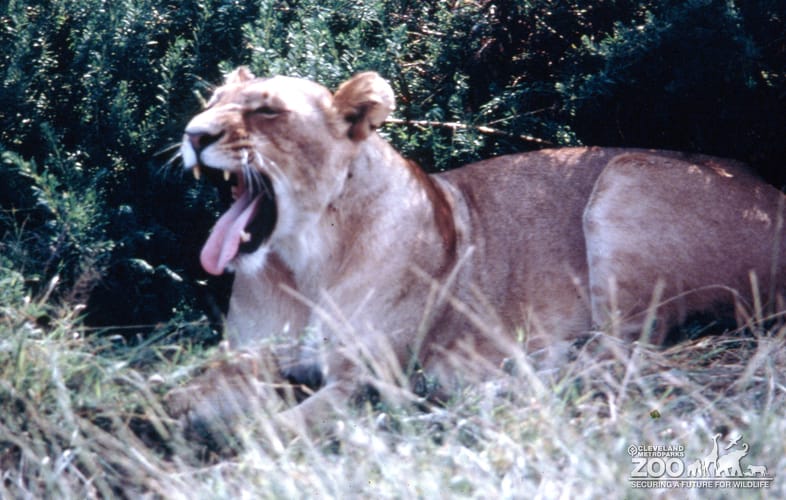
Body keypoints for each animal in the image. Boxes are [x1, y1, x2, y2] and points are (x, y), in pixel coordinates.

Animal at [169, 67, 786, 436]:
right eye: (212, 102)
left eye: (266, 111)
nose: (193, 134)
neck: (303, 262)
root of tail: (772, 189)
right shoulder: (245, 359)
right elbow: (184, 394)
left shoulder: (364, 382)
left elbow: (278, 428)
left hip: (625, 180)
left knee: (628, 352)